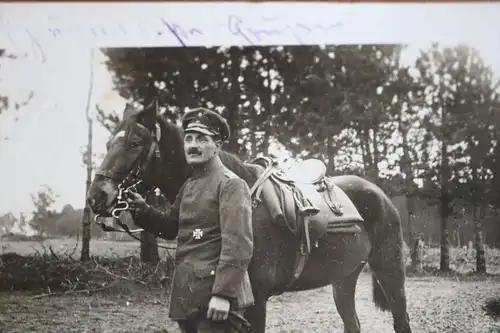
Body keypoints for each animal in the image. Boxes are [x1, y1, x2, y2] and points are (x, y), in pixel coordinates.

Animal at [88, 104, 412, 332]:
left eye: (134, 143)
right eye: (108, 144)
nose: (96, 196)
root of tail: (380, 194)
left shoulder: (256, 301)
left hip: (390, 270)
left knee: (401, 320)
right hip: (344, 278)